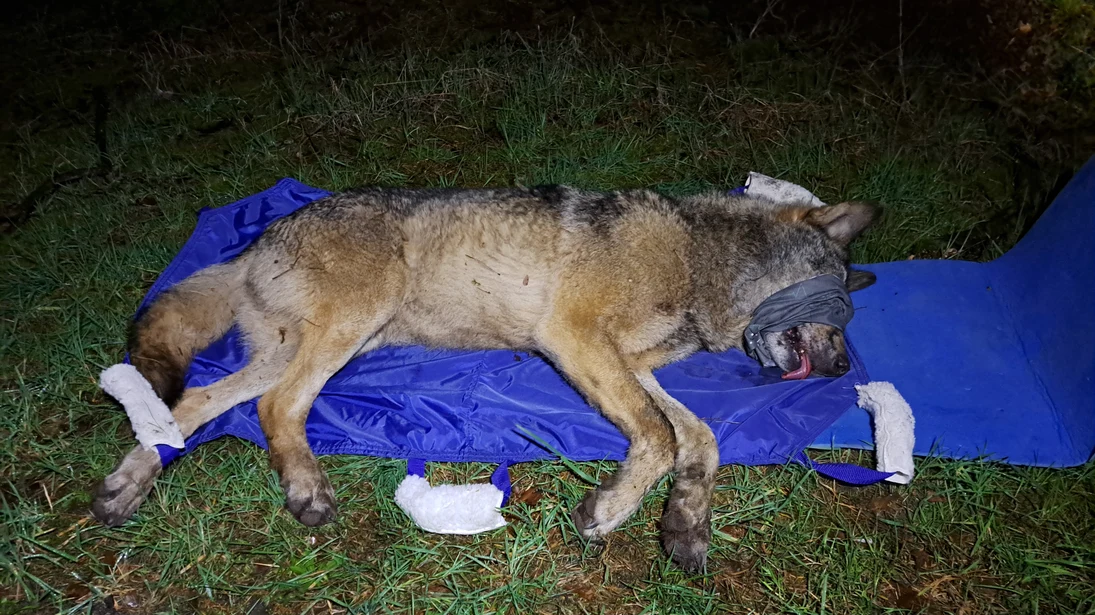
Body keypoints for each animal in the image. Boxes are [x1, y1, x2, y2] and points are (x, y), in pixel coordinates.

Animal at [91, 185, 878, 571]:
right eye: (840, 302)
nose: (844, 367)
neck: (696, 257)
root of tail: (254, 244)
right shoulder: (575, 341)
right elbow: (658, 439)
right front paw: (609, 512)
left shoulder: (625, 366)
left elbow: (702, 438)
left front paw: (685, 522)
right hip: (348, 329)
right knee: (278, 408)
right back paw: (305, 488)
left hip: (293, 349)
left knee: (192, 403)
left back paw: (126, 486)